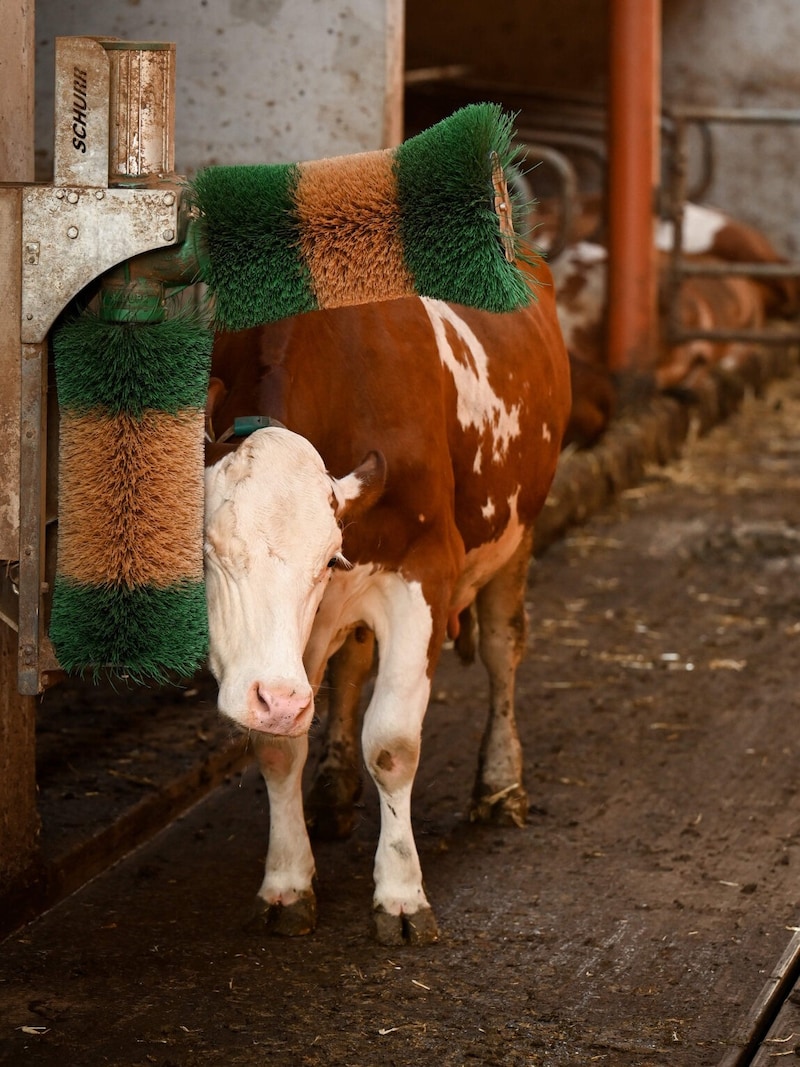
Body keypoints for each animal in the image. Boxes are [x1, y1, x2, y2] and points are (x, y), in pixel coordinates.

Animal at [203, 256, 571, 943]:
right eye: (209, 551)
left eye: (327, 558)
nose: (276, 698)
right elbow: (279, 747)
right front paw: (286, 882)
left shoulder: (423, 572)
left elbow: (394, 744)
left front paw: (400, 894)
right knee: (351, 666)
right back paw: (333, 786)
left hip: (518, 530)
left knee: (502, 650)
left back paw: (499, 783)